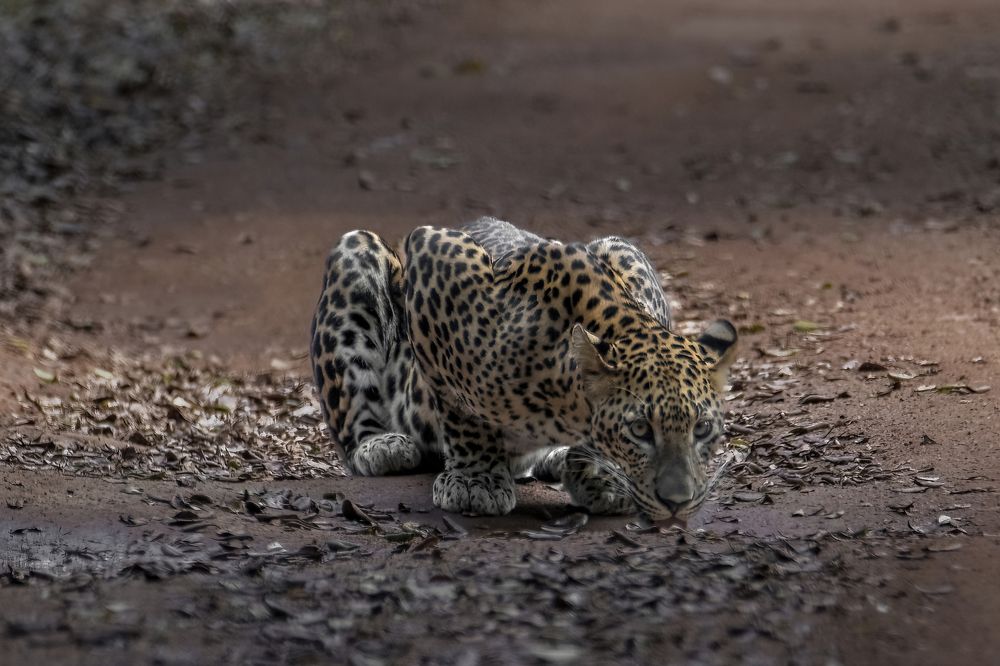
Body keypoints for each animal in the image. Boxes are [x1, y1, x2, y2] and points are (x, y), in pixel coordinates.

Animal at [310, 217, 737, 522]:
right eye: (640, 430)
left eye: (702, 429)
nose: (677, 502)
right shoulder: (433, 252)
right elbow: (459, 405)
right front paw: (475, 479)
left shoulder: (628, 259)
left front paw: (603, 475)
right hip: (356, 253)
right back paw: (381, 445)